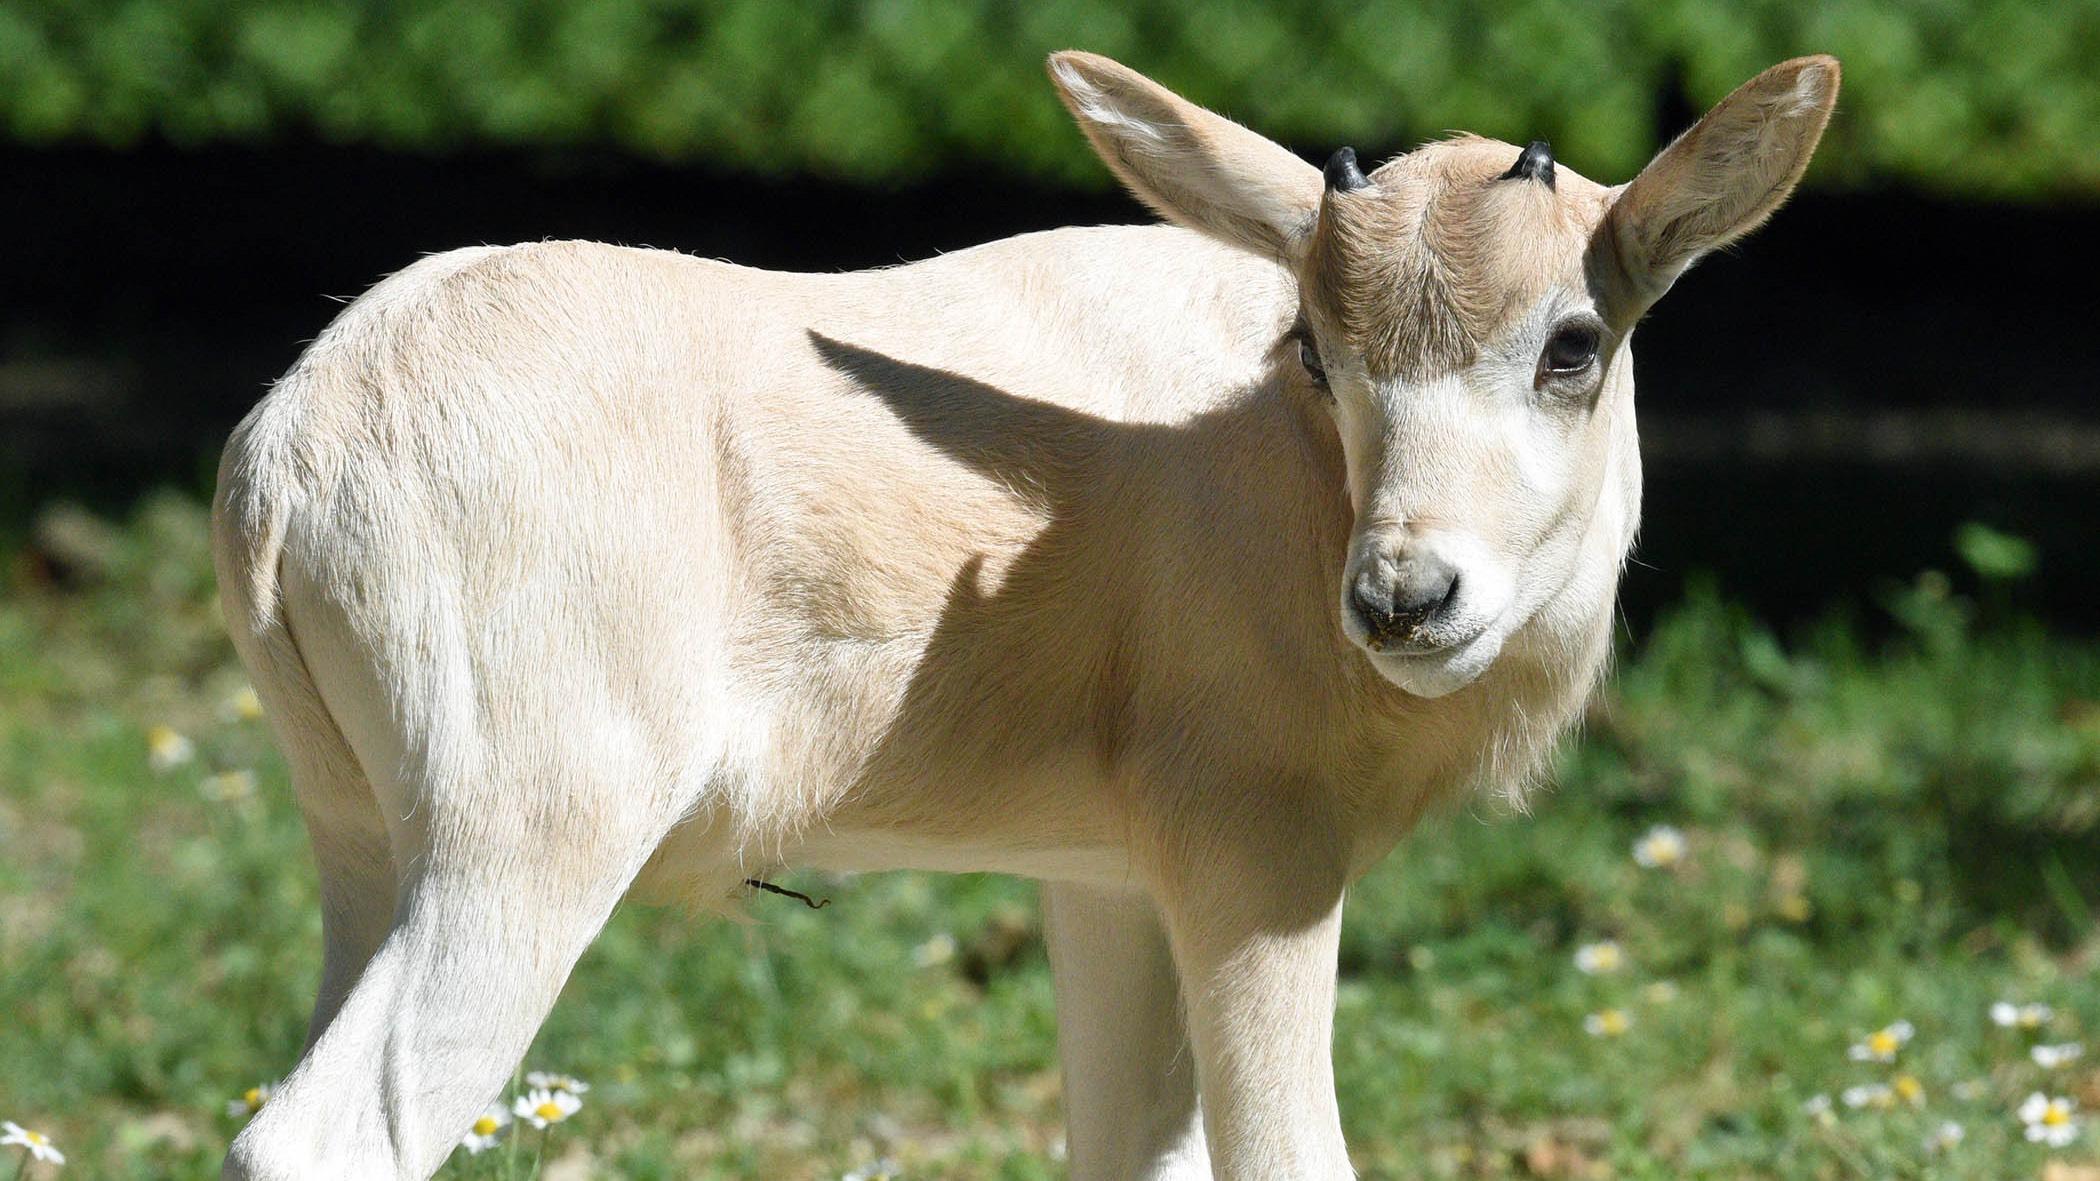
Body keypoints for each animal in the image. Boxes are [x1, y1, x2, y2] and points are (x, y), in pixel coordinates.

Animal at [217, 50, 1839, 1168]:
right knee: (319, 1135)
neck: (1270, 455)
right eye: (1316, 349)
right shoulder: (1256, 857)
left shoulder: (1111, 883)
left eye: (1573, 342)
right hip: (525, 847)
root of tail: (292, 445)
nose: (1404, 598)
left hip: (369, 849)